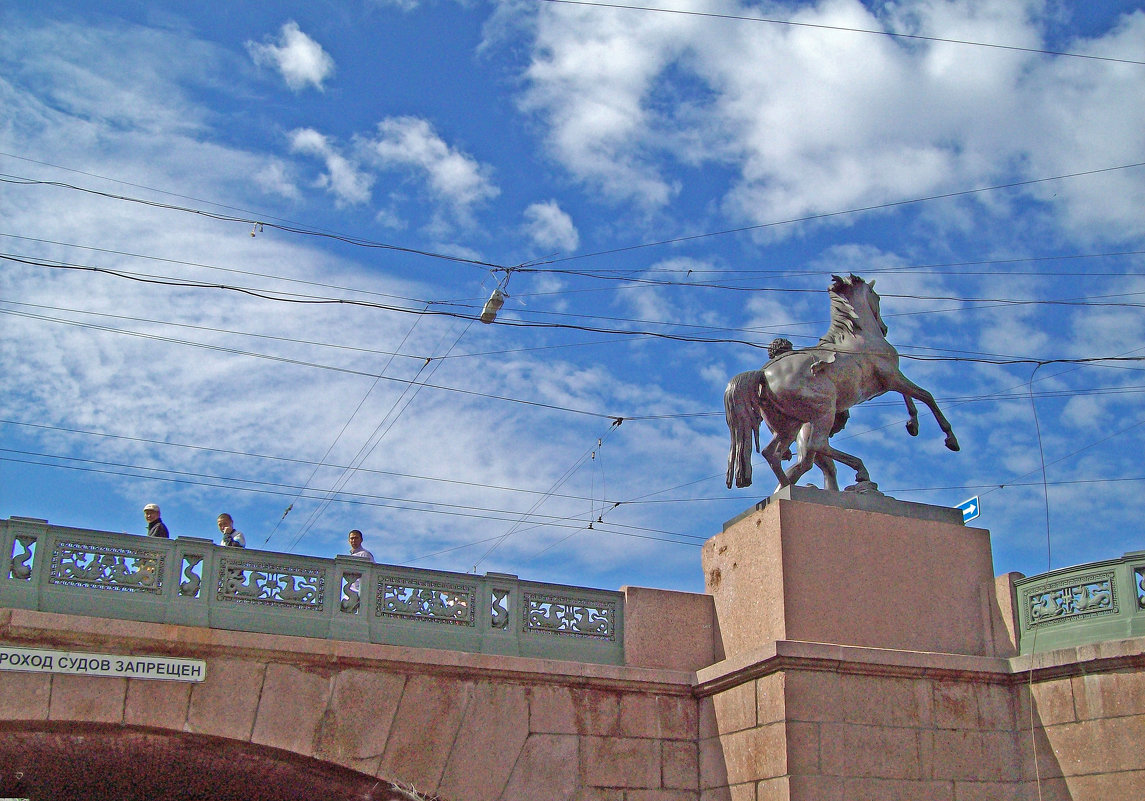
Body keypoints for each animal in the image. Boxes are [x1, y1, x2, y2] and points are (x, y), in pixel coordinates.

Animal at [723, 272, 957, 492]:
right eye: (877, 297)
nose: (884, 328)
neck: (859, 336)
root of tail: (763, 374)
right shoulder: (892, 376)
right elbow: (926, 395)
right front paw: (949, 438)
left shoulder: (884, 384)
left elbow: (909, 395)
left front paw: (912, 424)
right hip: (823, 410)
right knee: (816, 445)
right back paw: (859, 472)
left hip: (789, 424)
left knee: (774, 453)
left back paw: (788, 487)